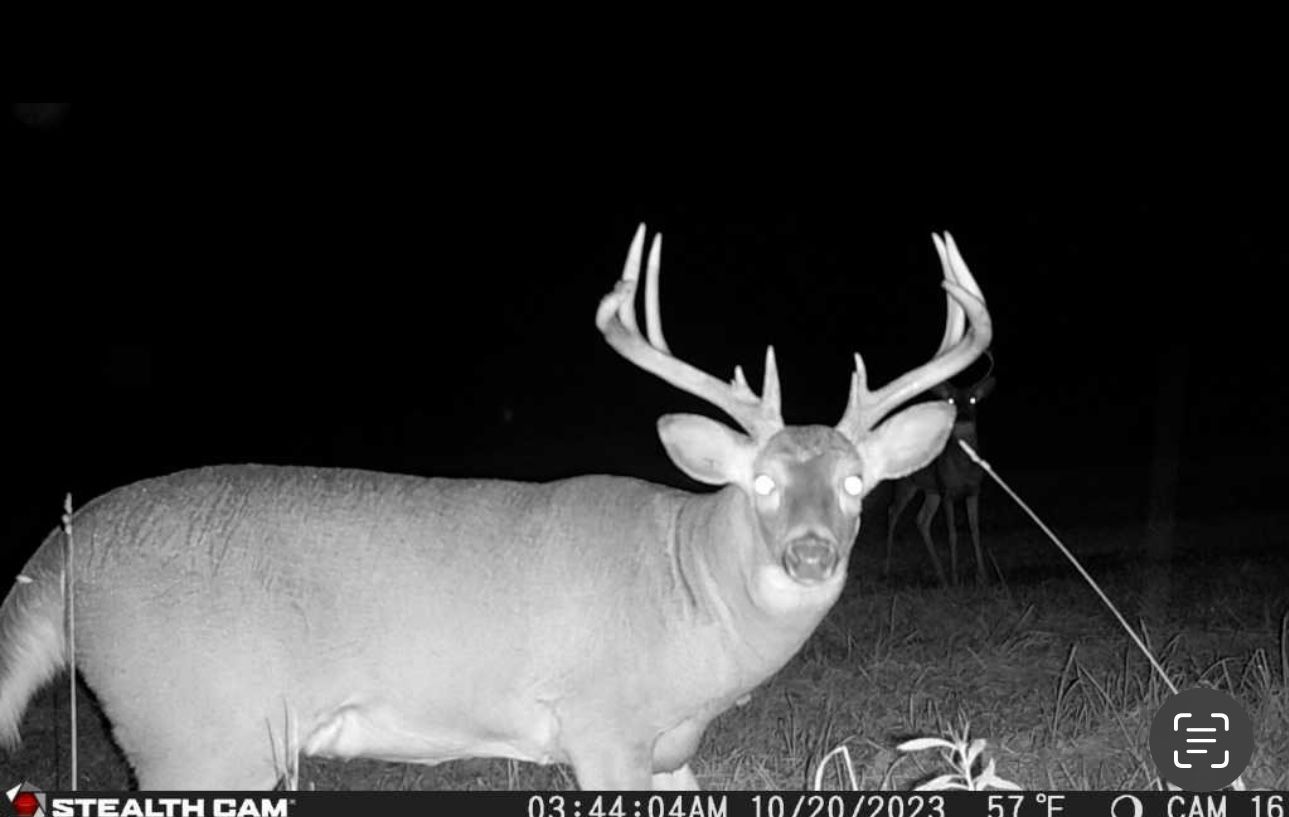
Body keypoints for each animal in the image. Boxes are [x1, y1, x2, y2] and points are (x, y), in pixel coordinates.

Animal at [884, 351, 995, 586]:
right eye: (951, 400)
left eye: (973, 399)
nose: (962, 416)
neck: (963, 469)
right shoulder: (947, 491)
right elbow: (952, 533)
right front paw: (956, 578)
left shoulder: (973, 490)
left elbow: (975, 531)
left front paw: (983, 577)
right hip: (906, 484)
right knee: (892, 513)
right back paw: (887, 570)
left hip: (930, 490)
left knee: (921, 520)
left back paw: (940, 576)